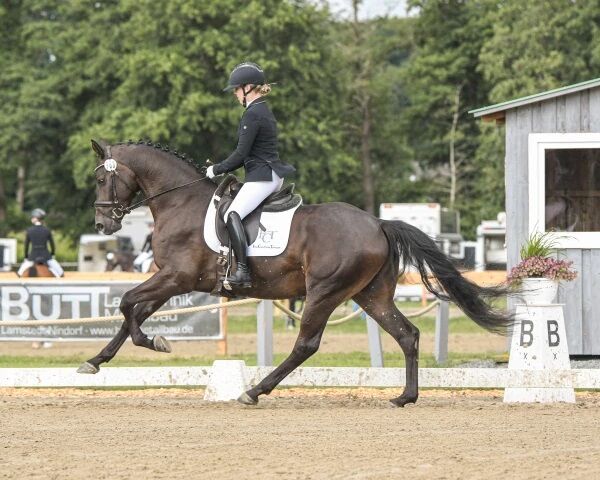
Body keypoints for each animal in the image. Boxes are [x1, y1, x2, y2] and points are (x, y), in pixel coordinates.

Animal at [83, 139, 516, 404]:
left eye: (102, 177)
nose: (103, 225)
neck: (180, 201)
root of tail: (378, 223)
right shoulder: (171, 280)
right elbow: (133, 311)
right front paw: (95, 360)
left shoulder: (177, 277)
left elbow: (127, 304)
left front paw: (154, 342)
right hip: (370, 295)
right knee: (406, 334)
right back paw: (405, 397)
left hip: (324, 292)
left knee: (306, 345)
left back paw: (254, 391)